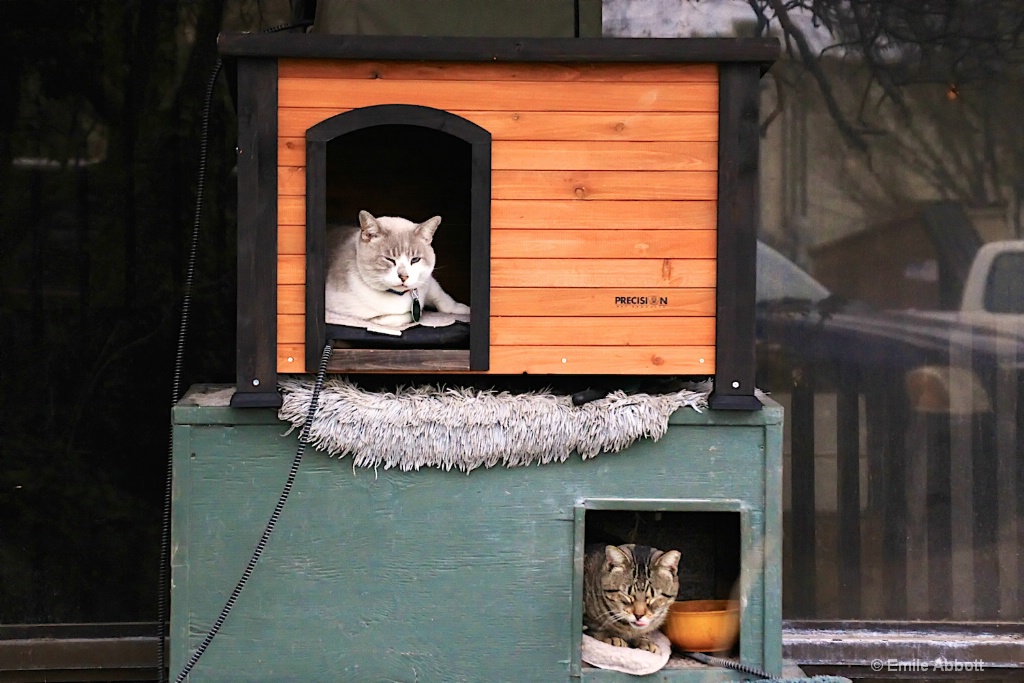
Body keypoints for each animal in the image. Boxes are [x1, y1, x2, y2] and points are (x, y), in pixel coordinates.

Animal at [323, 208, 471, 327]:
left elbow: (442, 298)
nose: (404, 276)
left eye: (415, 259)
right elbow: (403, 316)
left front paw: (464, 311)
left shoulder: (427, 281)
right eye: (389, 259)